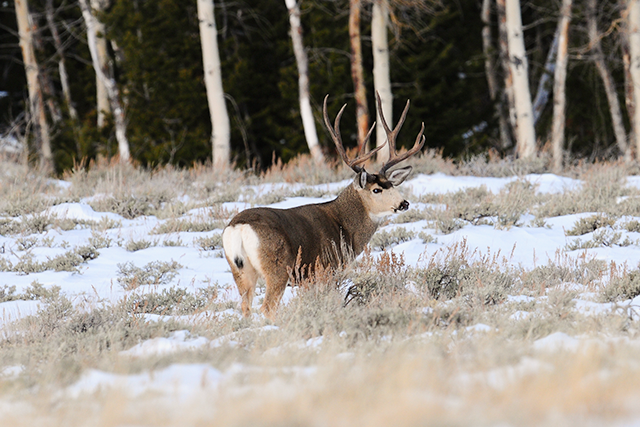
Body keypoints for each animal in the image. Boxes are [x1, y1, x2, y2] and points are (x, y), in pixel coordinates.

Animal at [222, 93, 425, 319]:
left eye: (391, 184)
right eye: (376, 190)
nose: (404, 203)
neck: (346, 227)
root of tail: (238, 228)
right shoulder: (328, 270)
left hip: (240, 270)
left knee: (245, 307)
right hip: (277, 267)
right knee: (267, 306)